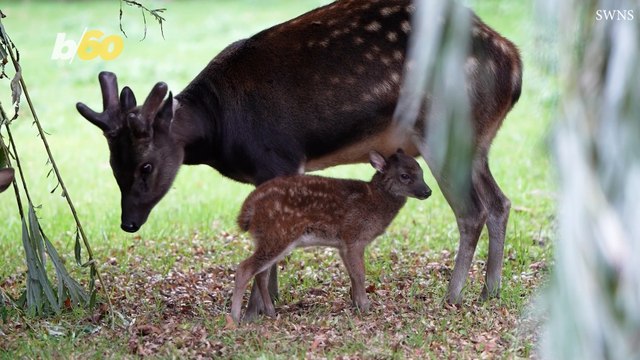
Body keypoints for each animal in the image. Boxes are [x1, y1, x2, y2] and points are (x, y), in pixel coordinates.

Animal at [77, 0, 524, 318]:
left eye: (146, 165)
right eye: (113, 166)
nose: (128, 222)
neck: (222, 127)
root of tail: (515, 64)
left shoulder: (280, 157)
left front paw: (258, 309)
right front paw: (267, 303)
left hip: (444, 128)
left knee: (471, 210)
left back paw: (454, 295)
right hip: (479, 142)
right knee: (499, 202)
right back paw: (490, 290)